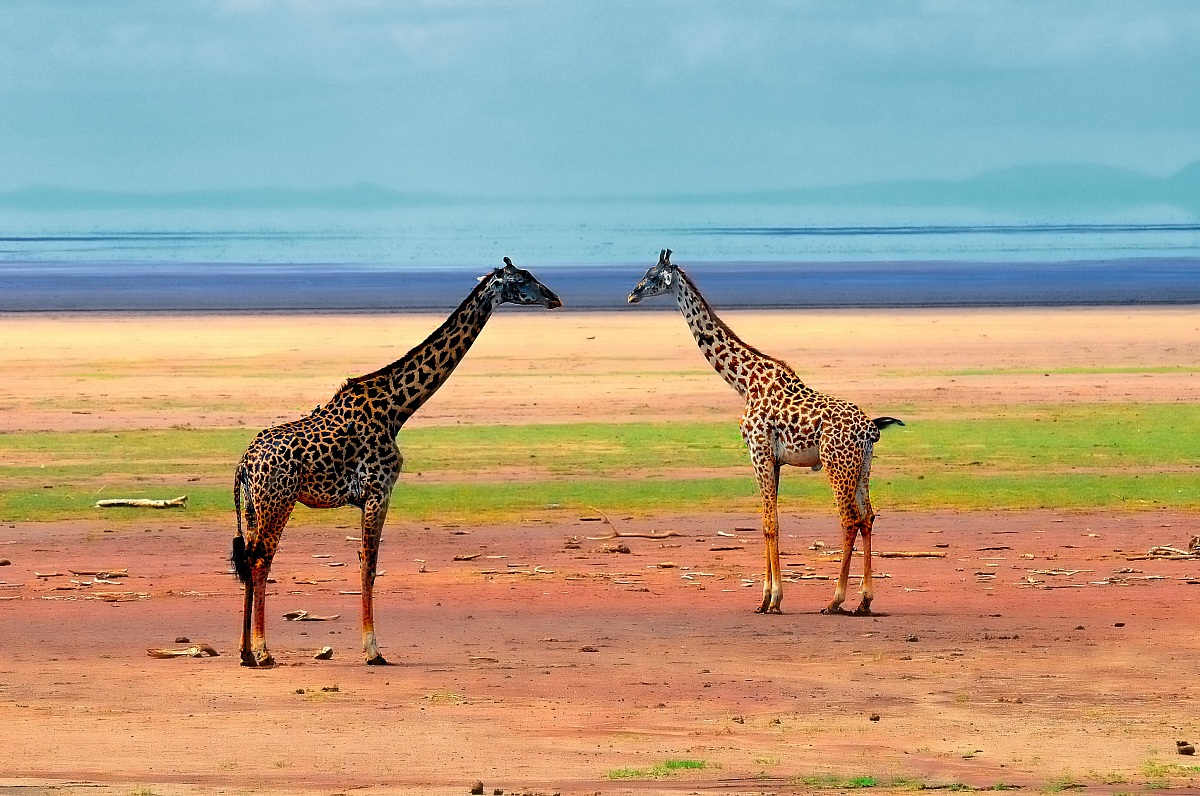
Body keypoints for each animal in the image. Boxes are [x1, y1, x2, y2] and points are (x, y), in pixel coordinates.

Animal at [232, 259, 562, 667]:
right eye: (522, 280)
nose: (555, 298)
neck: (397, 408)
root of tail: (244, 464)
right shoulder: (379, 490)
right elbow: (369, 567)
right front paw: (374, 650)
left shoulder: (368, 497)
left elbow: (365, 564)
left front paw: (370, 646)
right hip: (278, 500)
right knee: (261, 560)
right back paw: (263, 651)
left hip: (254, 506)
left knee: (249, 560)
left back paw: (246, 651)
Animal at [628, 250, 904, 616]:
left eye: (653, 276)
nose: (632, 294)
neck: (744, 383)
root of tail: (871, 429)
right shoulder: (774, 460)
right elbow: (769, 522)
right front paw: (766, 598)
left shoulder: (757, 451)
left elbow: (769, 522)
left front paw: (772, 599)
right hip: (863, 467)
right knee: (869, 517)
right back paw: (865, 600)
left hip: (837, 465)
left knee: (849, 519)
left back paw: (835, 600)